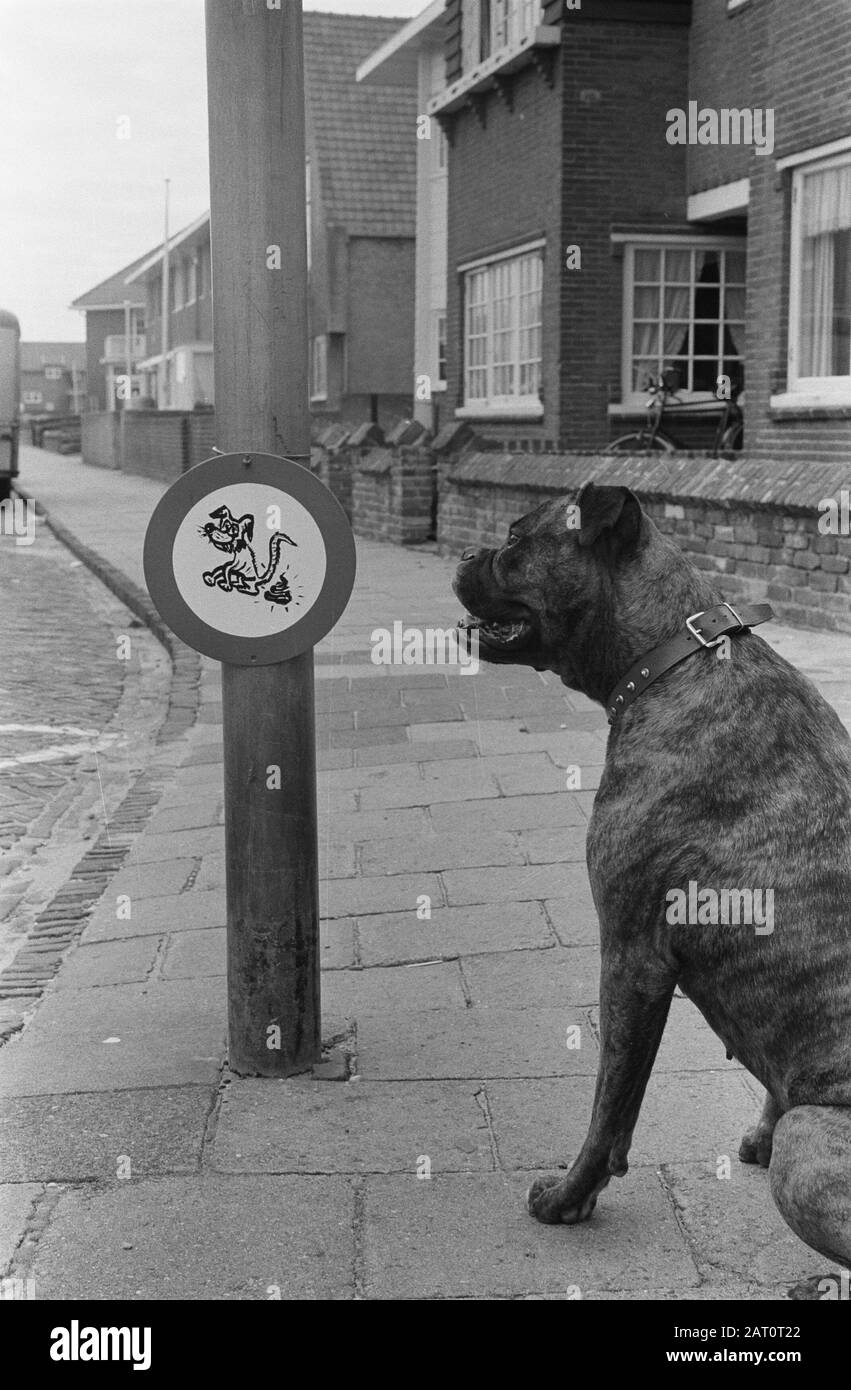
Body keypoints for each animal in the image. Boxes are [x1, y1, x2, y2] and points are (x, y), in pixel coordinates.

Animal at [456, 480, 851, 1278]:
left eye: (513, 541)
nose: (462, 554)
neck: (674, 657)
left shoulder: (632, 958)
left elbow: (610, 1106)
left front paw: (568, 1199)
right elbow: (774, 1079)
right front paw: (759, 1130)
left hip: (814, 1149)